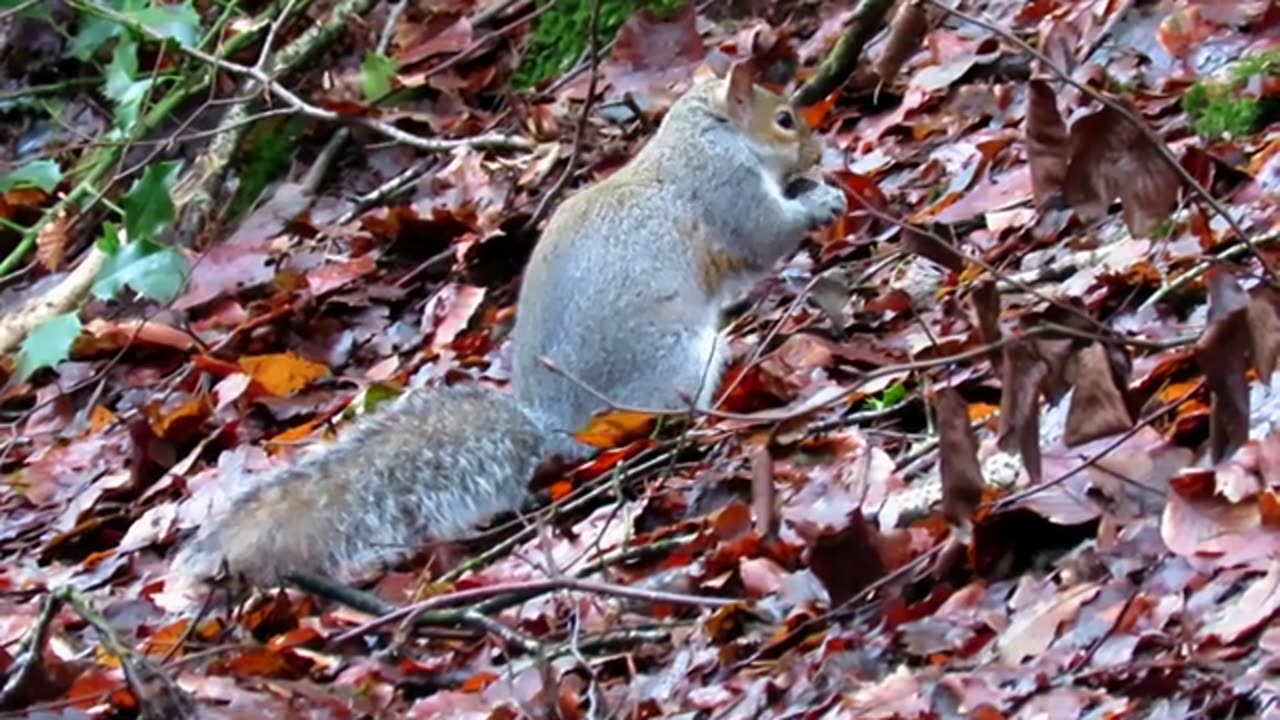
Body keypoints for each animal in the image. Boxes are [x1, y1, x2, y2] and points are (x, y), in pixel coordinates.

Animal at [170, 61, 849, 586]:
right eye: (784, 119)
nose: (817, 151)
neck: (701, 137)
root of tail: (558, 429)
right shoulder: (726, 192)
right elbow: (765, 236)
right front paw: (822, 199)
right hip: (680, 357)